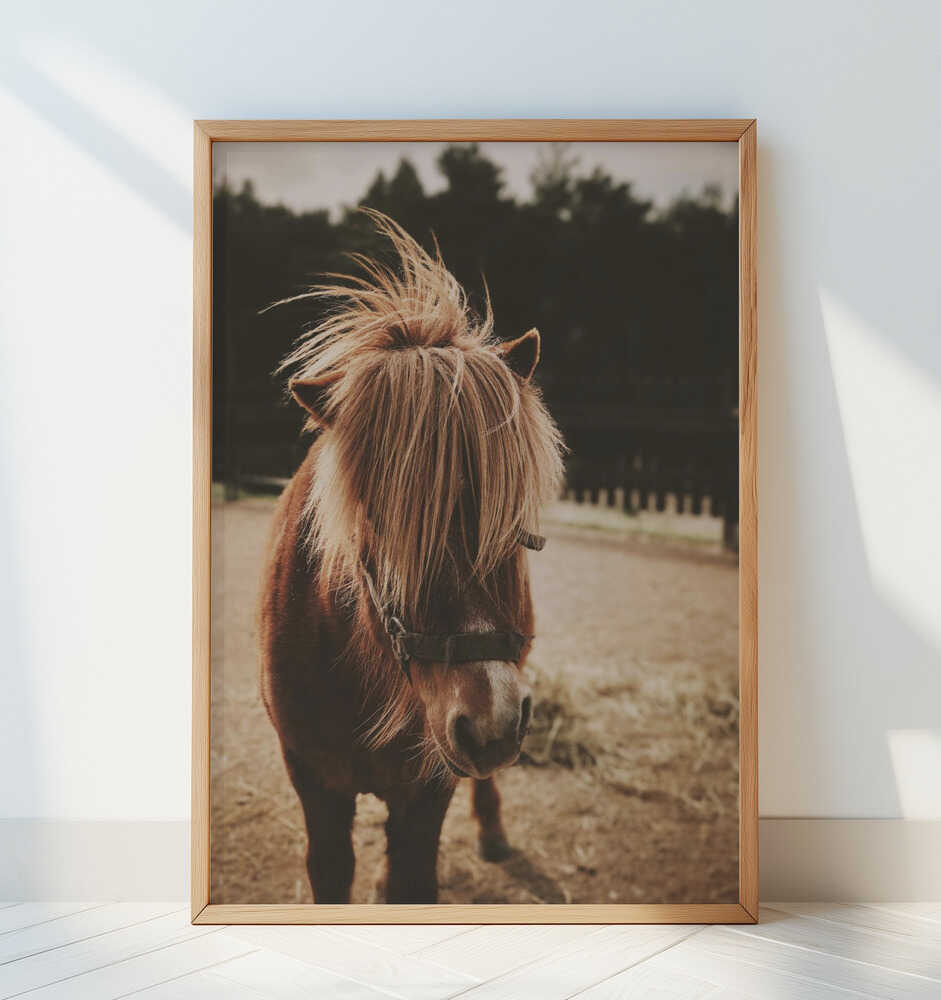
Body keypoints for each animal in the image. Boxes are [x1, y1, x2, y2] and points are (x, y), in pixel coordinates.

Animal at [259, 212, 564, 903]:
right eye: (379, 525)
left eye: (512, 517)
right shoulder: (313, 783)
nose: (490, 723)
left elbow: (412, 879)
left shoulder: (429, 788)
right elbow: (332, 872)